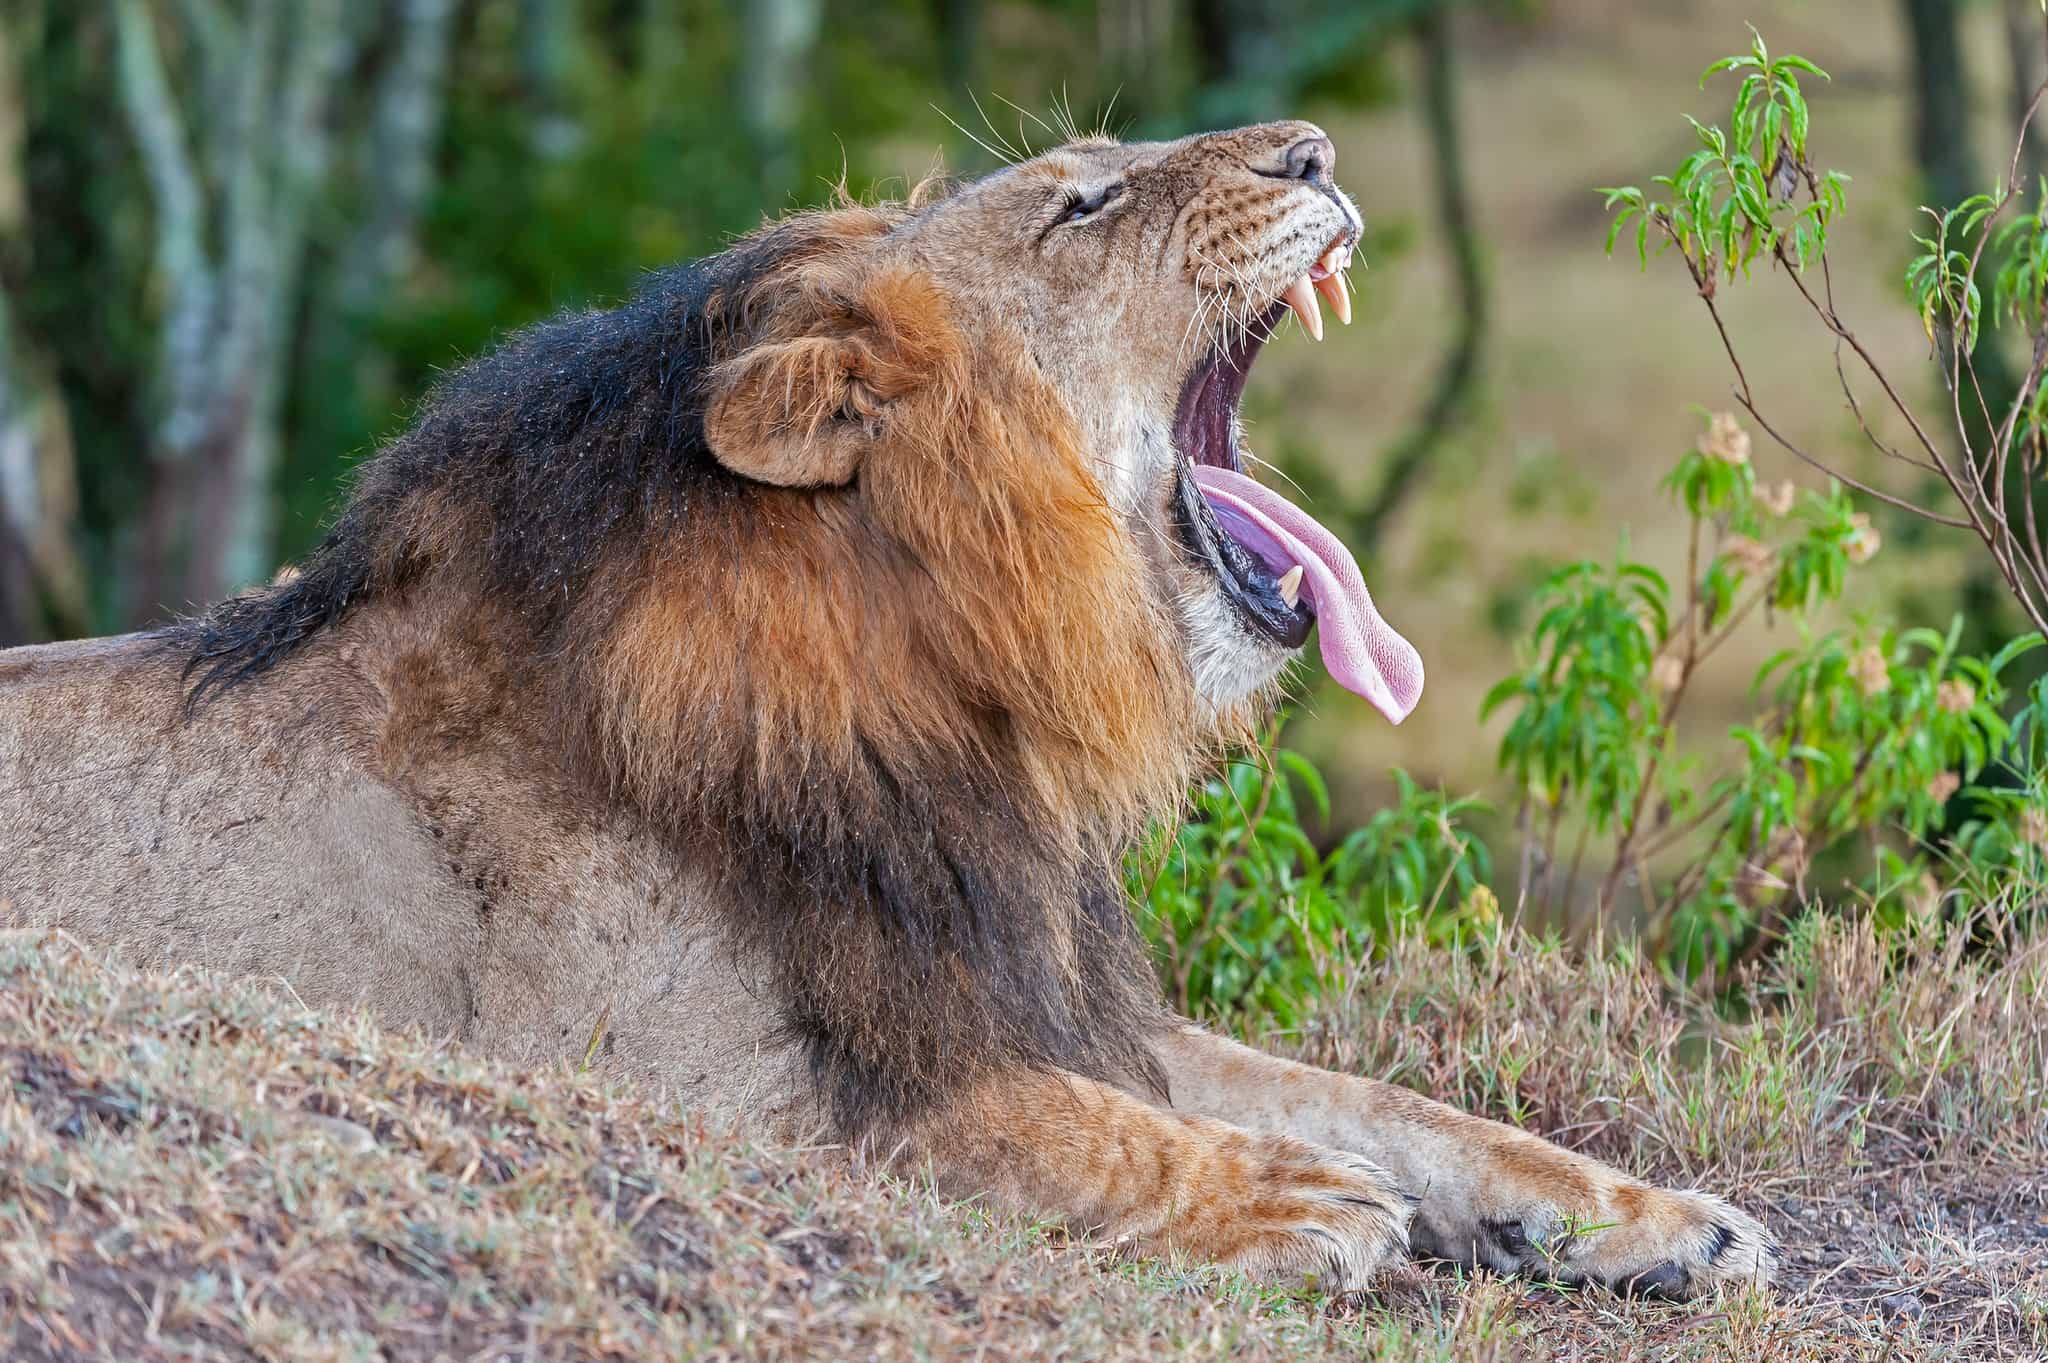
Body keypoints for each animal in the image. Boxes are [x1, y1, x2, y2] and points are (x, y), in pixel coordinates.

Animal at [4, 124, 1777, 1293]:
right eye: (1083, 200)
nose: (1315, 148)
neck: (947, 705)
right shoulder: (666, 1065)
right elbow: (1026, 1127)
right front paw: (1285, 1198)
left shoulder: (1018, 983)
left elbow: (1381, 1099)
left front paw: (1657, 1211)